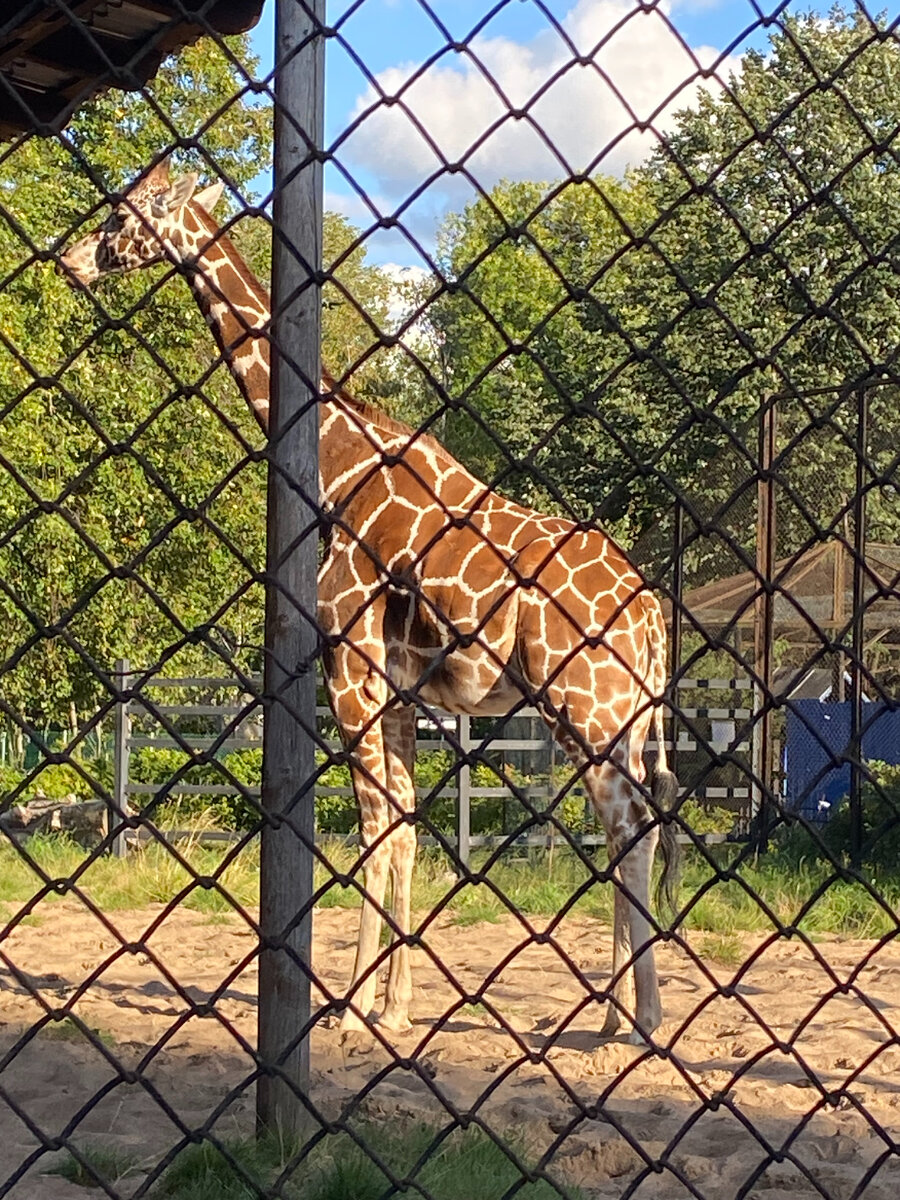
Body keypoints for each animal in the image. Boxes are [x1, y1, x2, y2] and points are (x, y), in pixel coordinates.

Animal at [60, 164, 681, 1046]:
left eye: (122, 215)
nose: (72, 261)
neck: (337, 464)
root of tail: (654, 617)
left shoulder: (348, 667)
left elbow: (371, 832)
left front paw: (351, 1008)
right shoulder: (400, 687)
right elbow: (406, 825)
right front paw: (394, 1003)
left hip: (583, 709)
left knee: (629, 824)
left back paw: (640, 1020)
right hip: (623, 719)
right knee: (635, 823)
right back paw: (610, 1015)